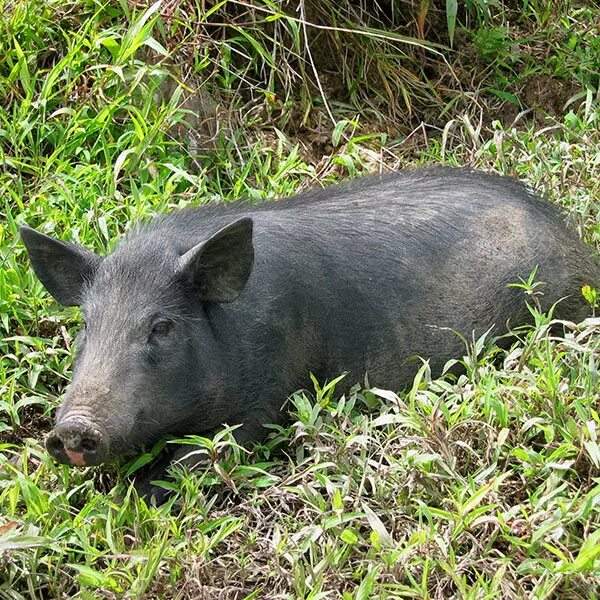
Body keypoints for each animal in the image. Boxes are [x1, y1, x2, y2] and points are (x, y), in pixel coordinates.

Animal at [19, 166, 600, 500]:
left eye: (161, 327)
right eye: (87, 324)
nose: (71, 429)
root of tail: (575, 241)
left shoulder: (267, 393)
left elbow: (195, 461)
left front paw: (130, 497)